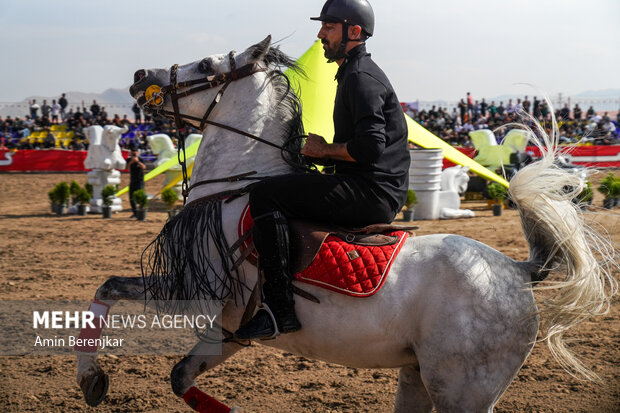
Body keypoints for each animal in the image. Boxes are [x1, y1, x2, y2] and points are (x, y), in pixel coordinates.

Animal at [76, 37, 616, 410]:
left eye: (208, 66)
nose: (139, 74)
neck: (236, 185)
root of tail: (519, 271)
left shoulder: (197, 294)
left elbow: (110, 290)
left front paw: (90, 378)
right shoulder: (227, 331)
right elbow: (175, 370)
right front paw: (94, 380)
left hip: (461, 390)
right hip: (417, 376)